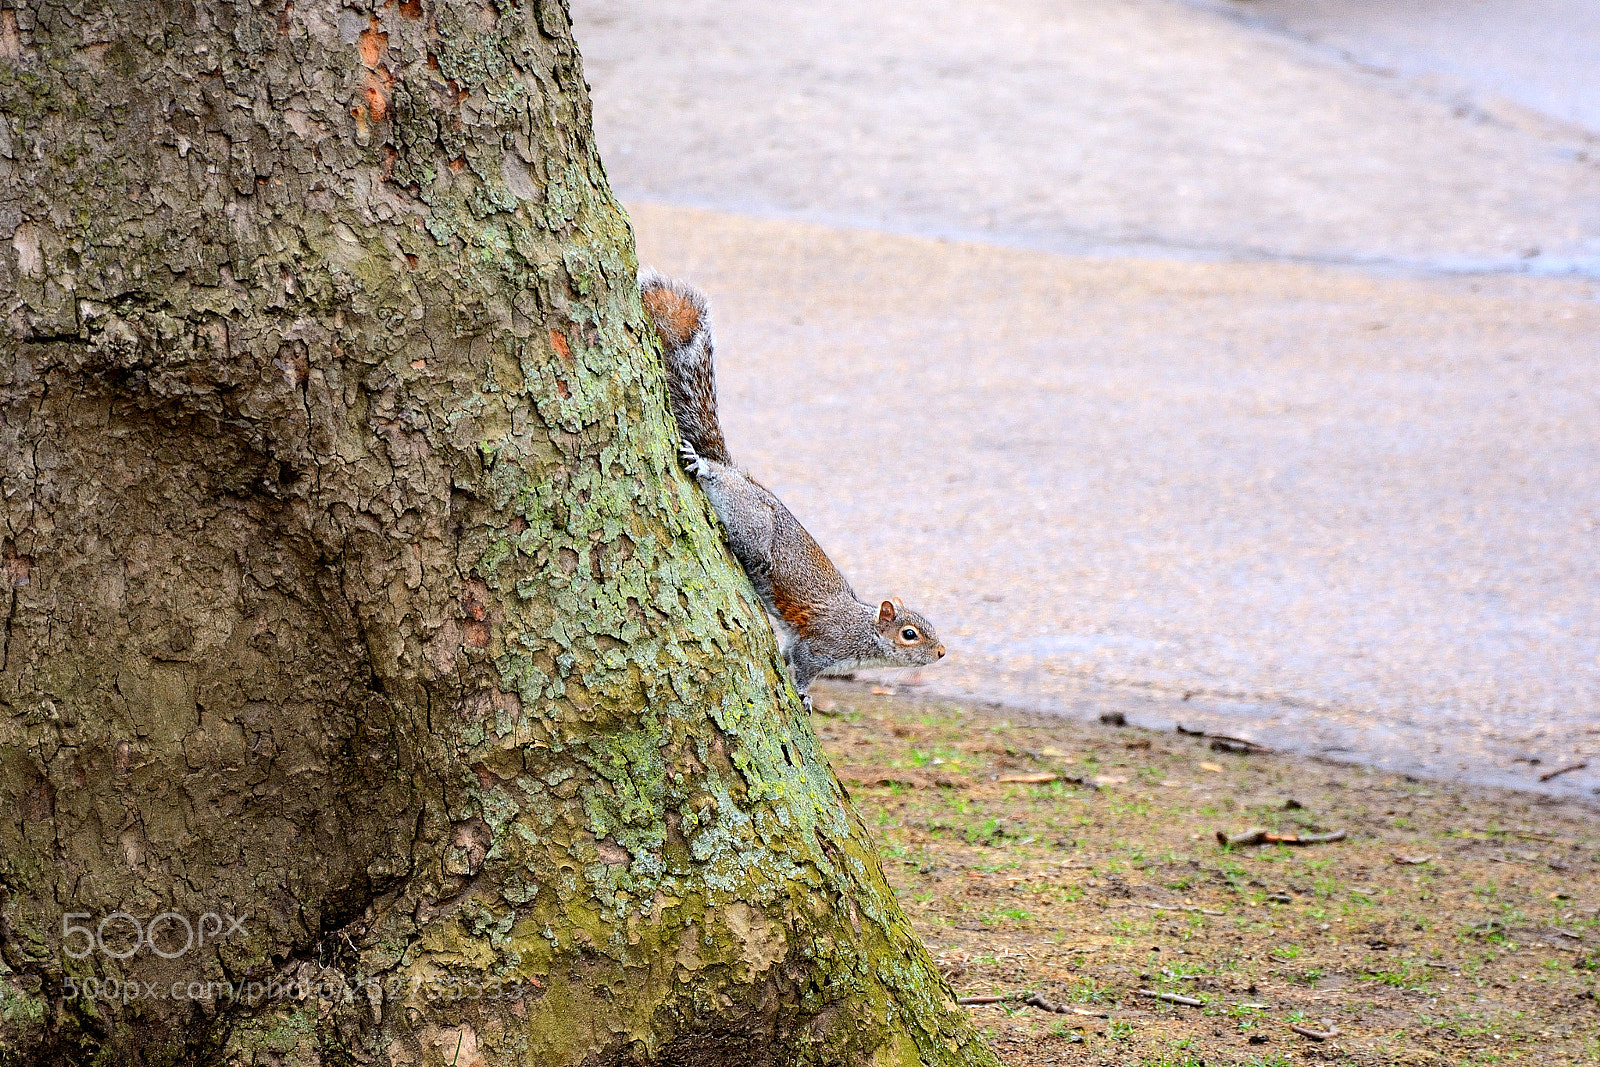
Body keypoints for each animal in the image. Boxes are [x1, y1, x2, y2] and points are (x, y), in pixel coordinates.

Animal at [639, 271, 946, 708]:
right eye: (910, 634)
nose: (941, 652)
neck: (863, 631)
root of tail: (742, 478)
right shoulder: (820, 645)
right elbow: (801, 666)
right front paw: (803, 695)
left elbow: (786, 654)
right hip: (751, 522)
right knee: (722, 487)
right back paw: (703, 466)